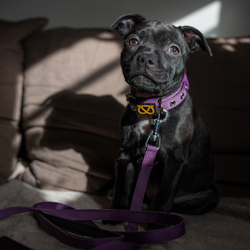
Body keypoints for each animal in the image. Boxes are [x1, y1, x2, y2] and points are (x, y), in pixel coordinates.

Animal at [106, 14, 218, 219]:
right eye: (133, 41)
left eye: (174, 49)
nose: (146, 58)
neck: (150, 107)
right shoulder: (125, 155)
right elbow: (121, 189)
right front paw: (116, 216)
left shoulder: (175, 161)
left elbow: (162, 200)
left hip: (209, 195)